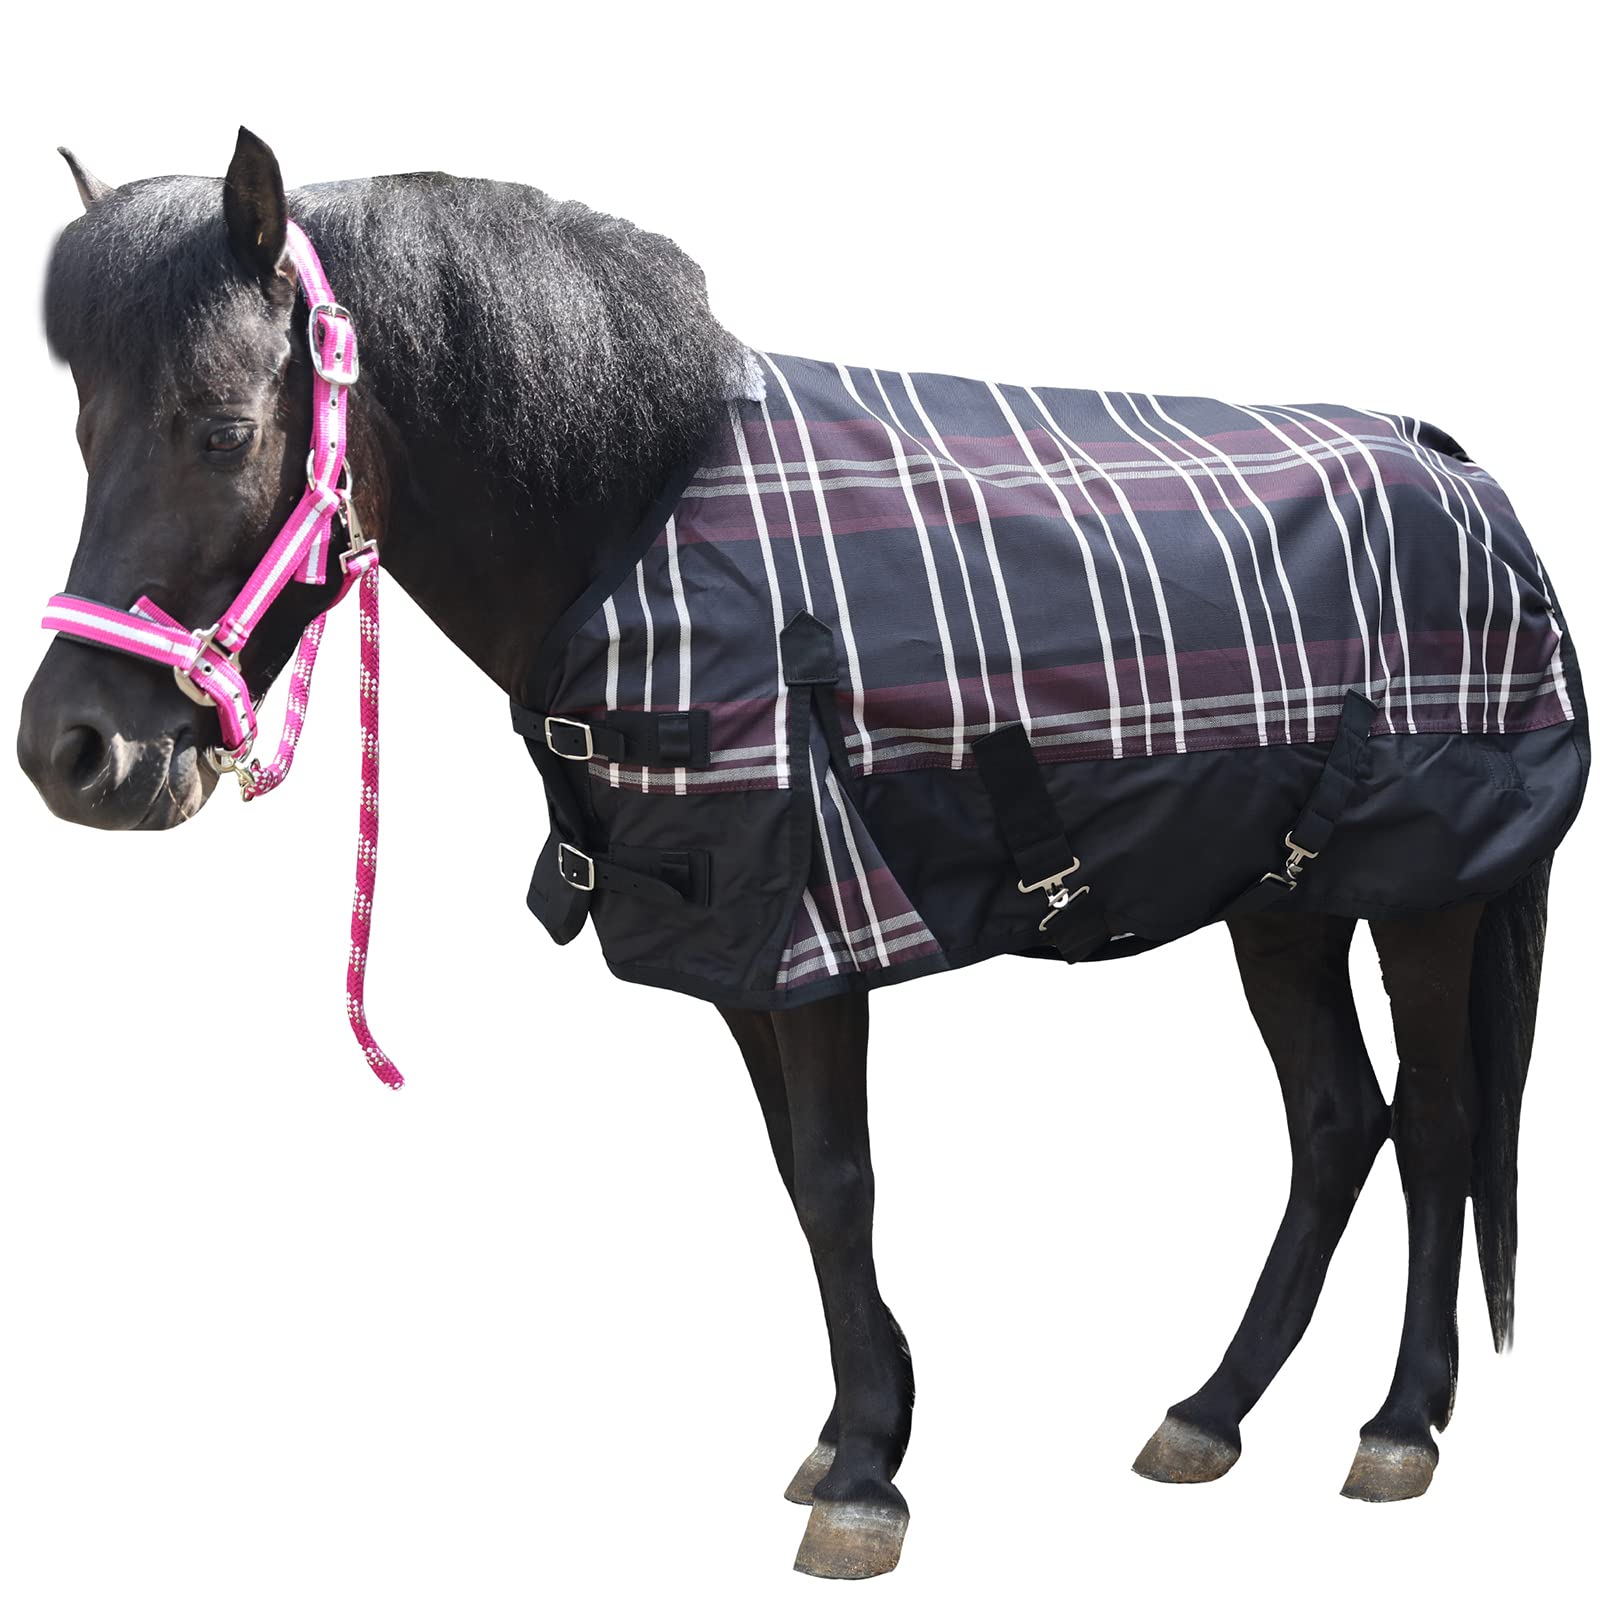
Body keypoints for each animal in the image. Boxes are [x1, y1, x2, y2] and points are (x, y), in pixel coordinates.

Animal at [17, 129, 1585, 1581]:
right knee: (1335, 1122)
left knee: (1439, 1124)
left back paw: (1399, 1425)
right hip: (1285, 900)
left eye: (223, 430)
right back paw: (1210, 1411)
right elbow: (793, 1177)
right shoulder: (740, 953)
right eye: (84, 431)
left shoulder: (818, 930)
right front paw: (846, 1431)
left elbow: (839, 1182)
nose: (72, 752)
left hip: (1425, 893)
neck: (638, 522)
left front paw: (871, 1480)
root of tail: (1457, 473)